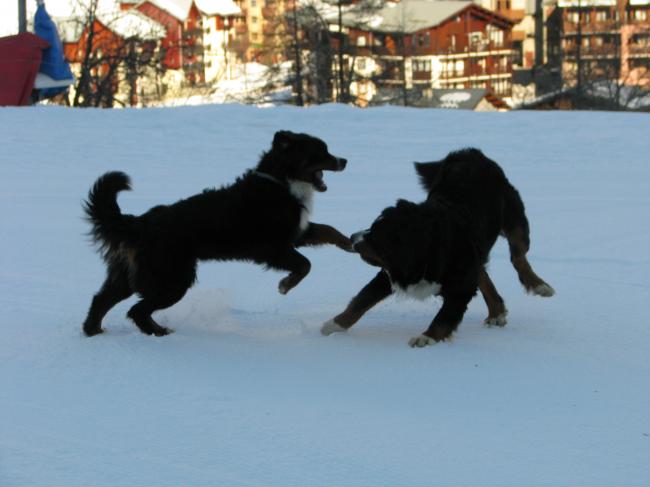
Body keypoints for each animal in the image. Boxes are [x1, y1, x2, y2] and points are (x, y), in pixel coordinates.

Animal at [85, 130, 354, 338]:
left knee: (101, 300)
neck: (280, 182)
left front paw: (350, 243)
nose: (344, 160)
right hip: (173, 278)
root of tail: (138, 223)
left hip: (128, 276)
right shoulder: (272, 248)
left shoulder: (297, 232)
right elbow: (305, 265)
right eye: (320, 151)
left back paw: (93, 332)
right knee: (137, 310)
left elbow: (329, 230)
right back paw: (159, 333)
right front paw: (285, 285)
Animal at [318, 148, 552, 346]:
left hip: (514, 219)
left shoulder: (459, 287)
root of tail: (468, 152)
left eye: (375, 236)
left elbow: (444, 318)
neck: (428, 250)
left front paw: (425, 338)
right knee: (484, 273)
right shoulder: (389, 274)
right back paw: (496, 312)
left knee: (518, 256)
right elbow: (361, 300)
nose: (352, 237)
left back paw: (539, 286)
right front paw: (333, 325)